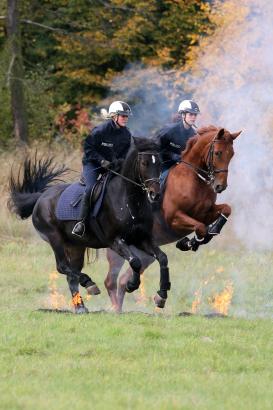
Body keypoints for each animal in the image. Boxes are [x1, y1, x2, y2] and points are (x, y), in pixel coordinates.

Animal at [9, 139, 170, 312]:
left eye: (160, 163)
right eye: (144, 163)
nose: (155, 194)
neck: (129, 201)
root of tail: (40, 197)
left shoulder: (142, 239)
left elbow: (162, 258)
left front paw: (161, 295)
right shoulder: (115, 241)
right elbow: (135, 261)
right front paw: (132, 285)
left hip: (76, 245)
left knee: (71, 275)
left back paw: (80, 306)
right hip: (55, 238)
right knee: (62, 267)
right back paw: (89, 284)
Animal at [103, 125, 240, 310]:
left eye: (231, 154)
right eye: (218, 153)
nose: (220, 186)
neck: (194, 179)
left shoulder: (205, 213)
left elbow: (225, 210)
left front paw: (203, 237)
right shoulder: (174, 218)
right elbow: (200, 228)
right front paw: (188, 242)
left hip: (144, 252)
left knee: (124, 280)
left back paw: (154, 296)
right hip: (118, 248)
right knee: (111, 281)